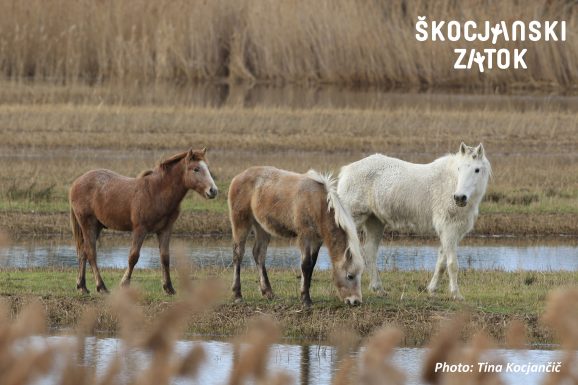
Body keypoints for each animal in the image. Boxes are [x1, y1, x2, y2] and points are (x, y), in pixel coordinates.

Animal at [68, 147, 217, 294]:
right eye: (196, 169)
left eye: (208, 167)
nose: (213, 191)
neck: (156, 192)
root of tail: (76, 182)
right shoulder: (140, 229)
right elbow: (133, 257)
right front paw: (124, 284)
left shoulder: (165, 230)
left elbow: (165, 257)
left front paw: (168, 287)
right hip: (88, 223)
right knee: (91, 252)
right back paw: (101, 287)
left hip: (97, 226)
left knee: (83, 252)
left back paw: (82, 286)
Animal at [227, 166, 362, 304]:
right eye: (350, 276)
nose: (355, 301)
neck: (318, 204)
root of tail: (238, 177)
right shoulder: (305, 236)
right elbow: (306, 264)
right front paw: (306, 299)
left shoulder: (317, 240)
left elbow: (312, 264)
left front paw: (305, 292)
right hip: (241, 223)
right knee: (238, 254)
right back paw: (237, 295)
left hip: (262, 227)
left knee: (259, 254)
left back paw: (268, 292)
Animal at [336, 142, 488, 298]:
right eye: (459, 168)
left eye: (477, 170)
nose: (459, 198)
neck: (450, 182)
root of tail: (346, 171)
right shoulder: (448, 229)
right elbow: (452, 264)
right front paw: (456, 294)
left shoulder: (453, 233)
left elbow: (442, 262)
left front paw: (432, 289)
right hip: (353, 219)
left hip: (375, 222)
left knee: (370, 251)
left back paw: (378, 288)